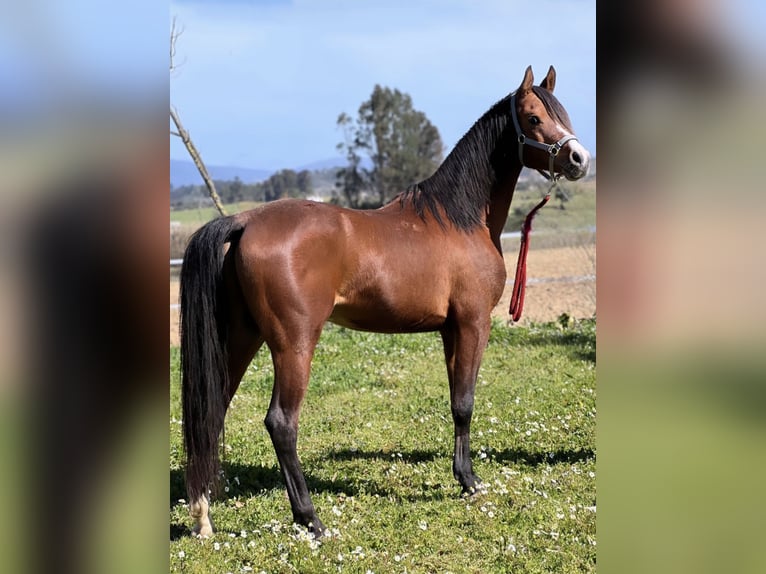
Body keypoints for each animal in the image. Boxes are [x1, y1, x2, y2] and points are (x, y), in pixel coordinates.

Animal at [182, 67, 592, 540]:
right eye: (533, 117)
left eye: (560, 112)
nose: (579, 158)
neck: (459, 219)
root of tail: (244, 221)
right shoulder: (474, 323)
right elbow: (466, 401)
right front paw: (470, 481)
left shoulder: (450, 329)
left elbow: (455, 402)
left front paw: (461, 475)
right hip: (293, 343)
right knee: (281, 422)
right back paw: (310, 518)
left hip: (241, 338)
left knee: (210, 412)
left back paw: (203, 516)